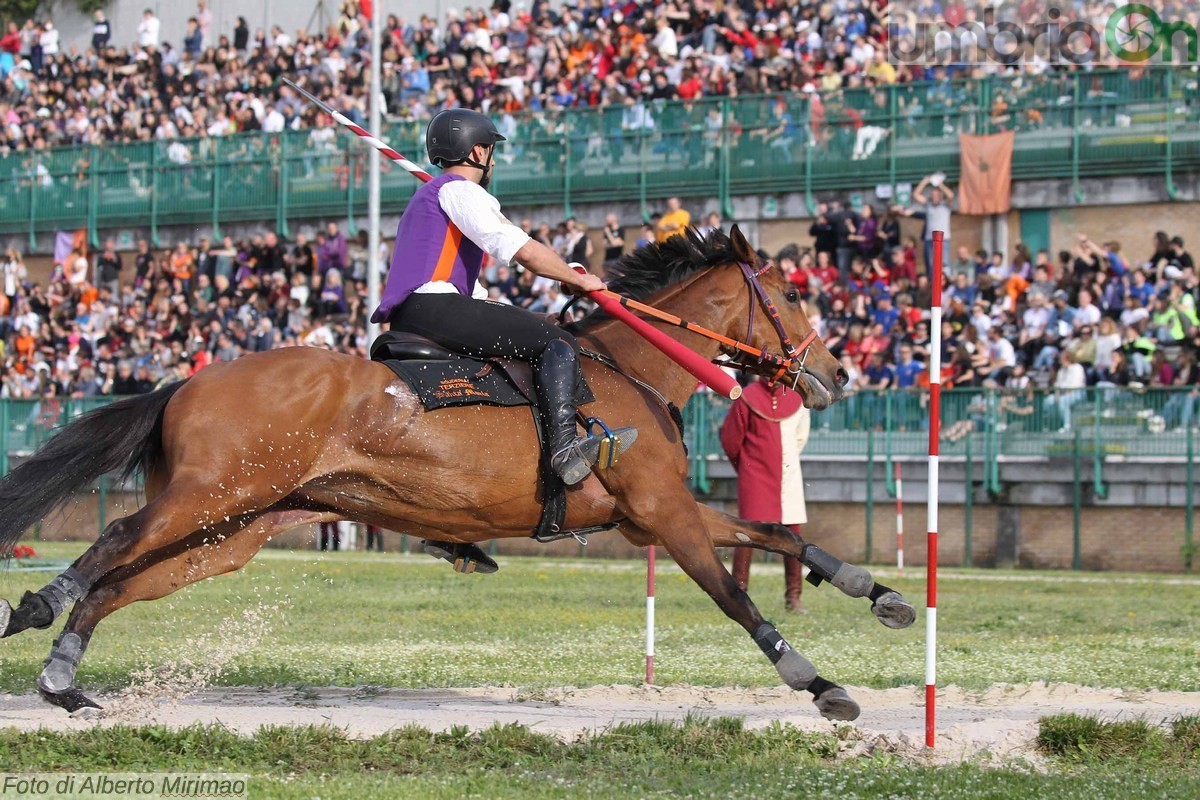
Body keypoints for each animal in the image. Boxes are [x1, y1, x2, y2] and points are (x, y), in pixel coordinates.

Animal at [0, 225, 912, 719]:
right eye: (788, 294)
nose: (836, 373)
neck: (630, 369)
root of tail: (188, 379)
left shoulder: (652, 513)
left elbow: (780, 537)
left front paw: (880, 593)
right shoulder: (665, 513)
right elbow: (735, 595)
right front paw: (815, 680)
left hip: (228, 532)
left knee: (119, 582)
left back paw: (62, 678)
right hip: (207, 499)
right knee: (112, 542)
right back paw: (39, 606)